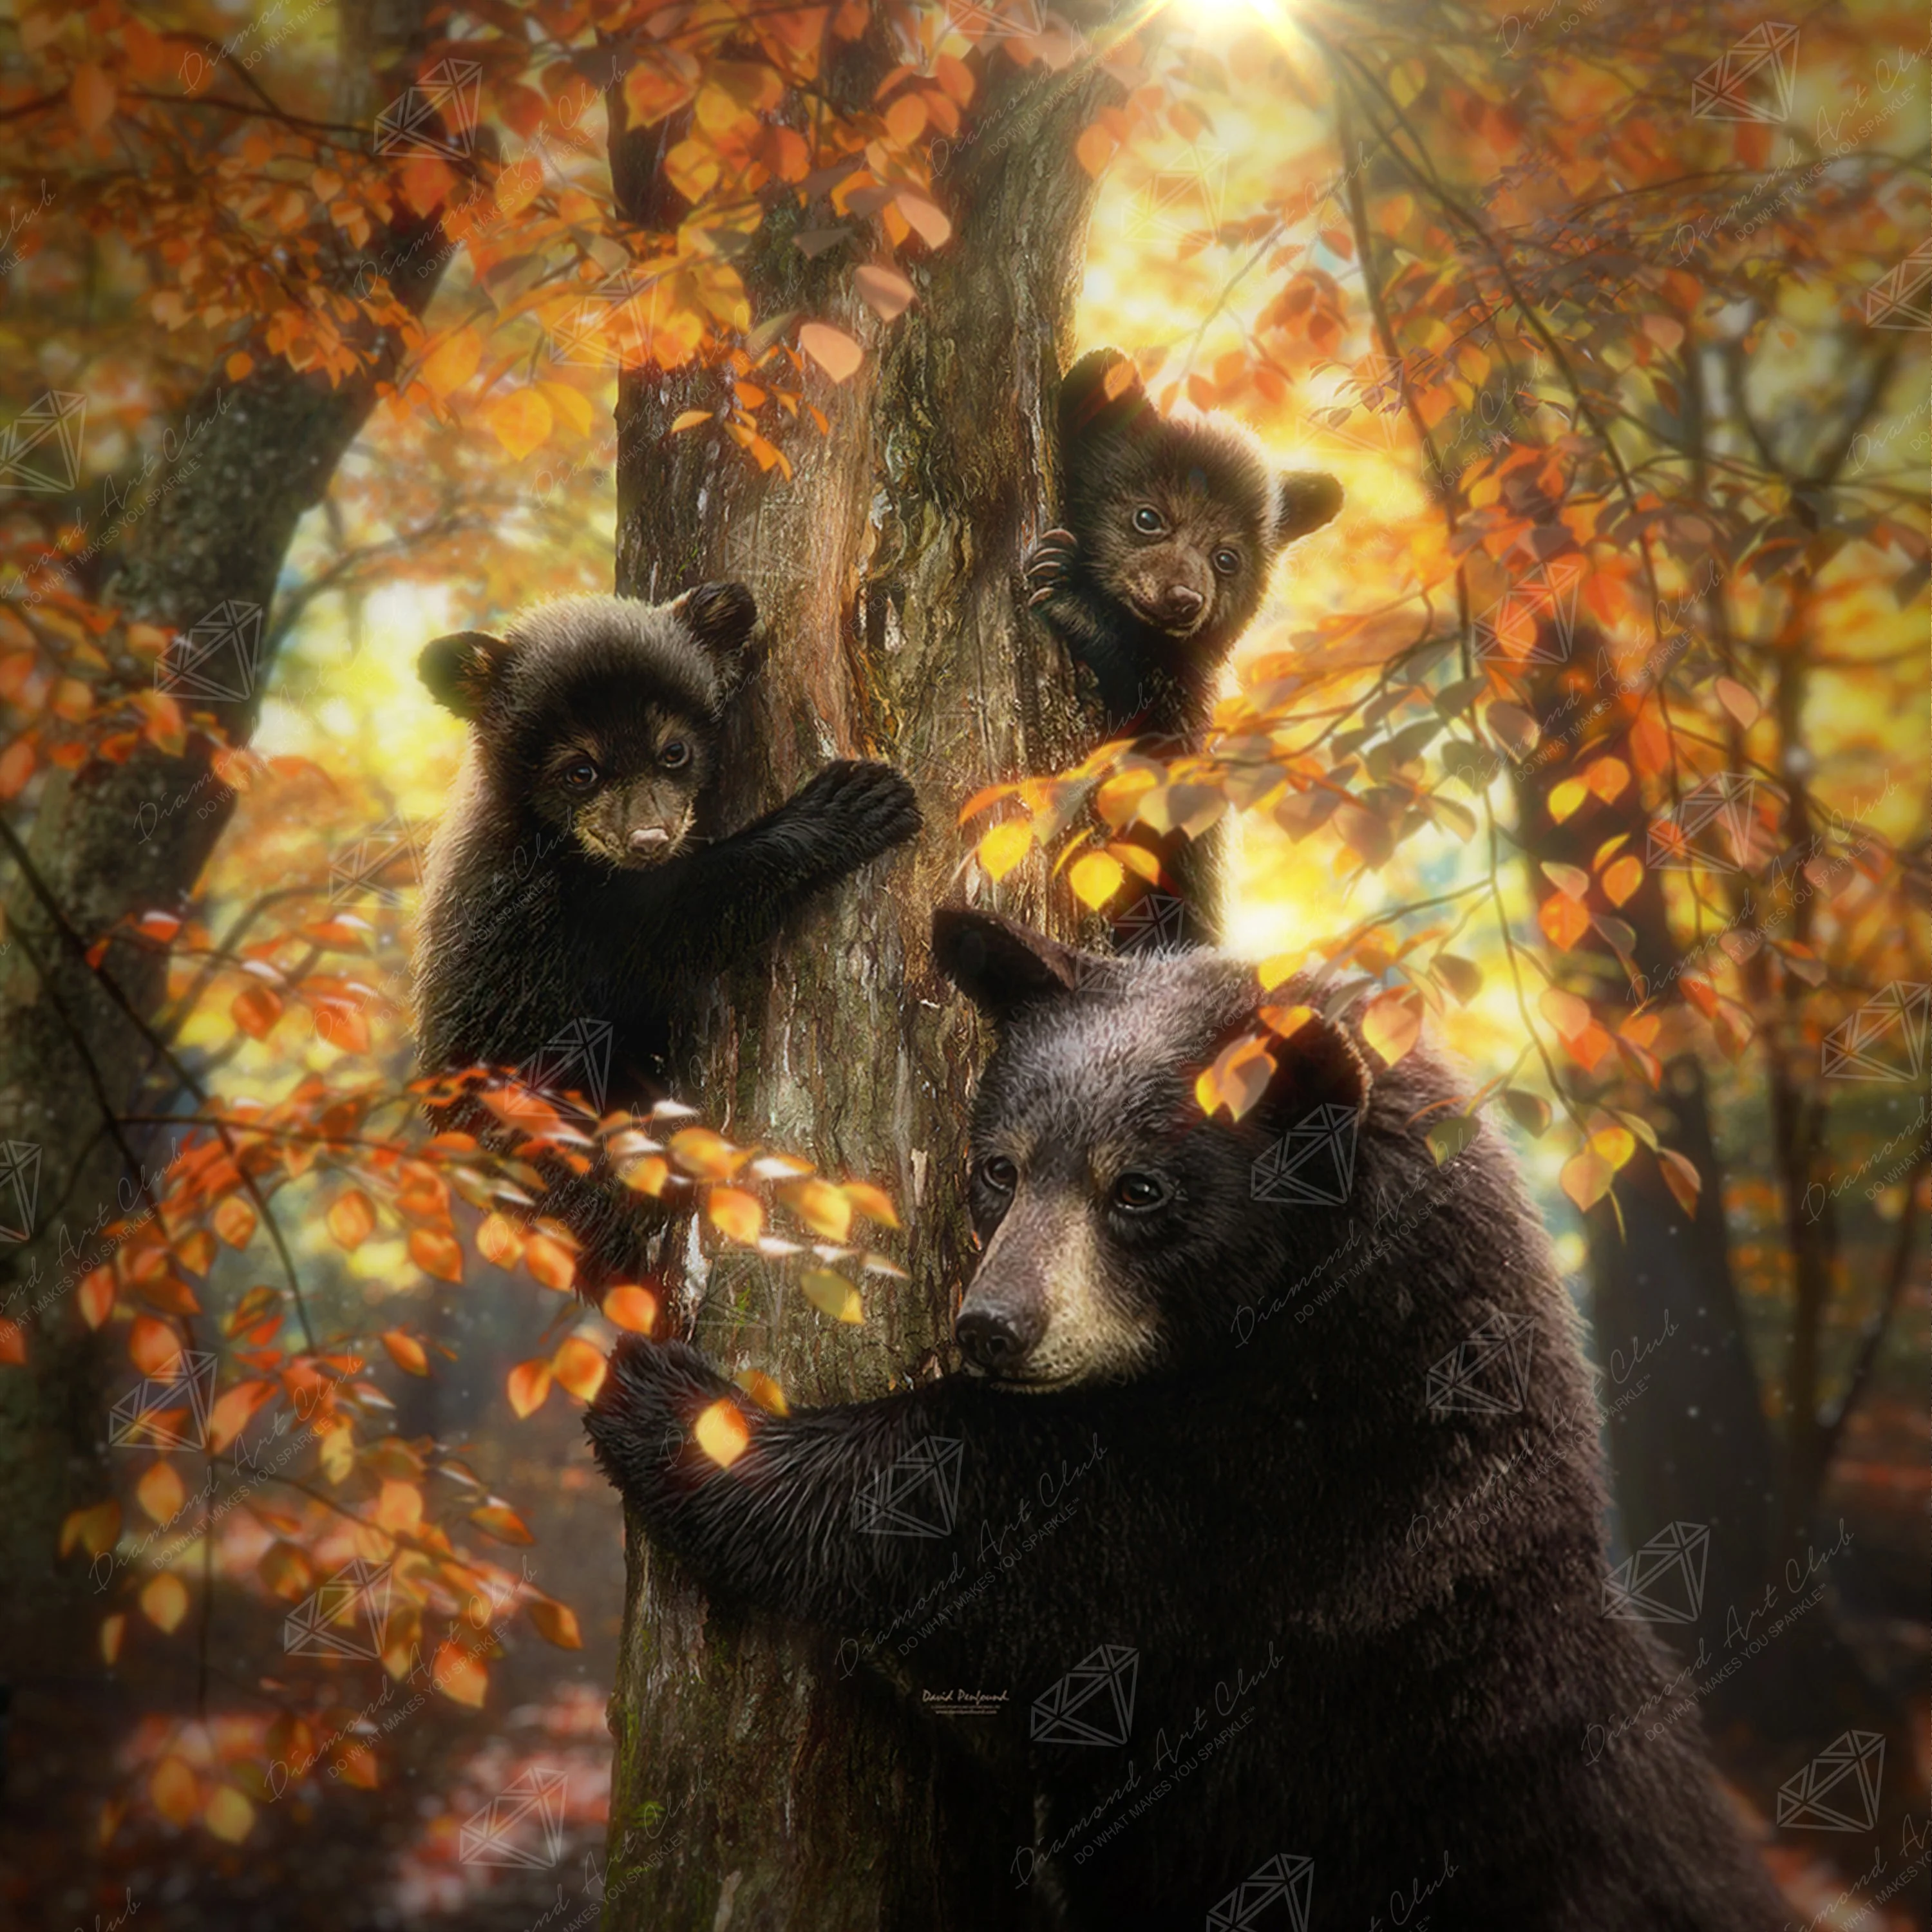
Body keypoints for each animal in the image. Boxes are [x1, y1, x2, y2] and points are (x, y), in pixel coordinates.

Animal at [413, 583, 921, 1278]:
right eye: (580, 771)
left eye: (673, 751)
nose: (649, 839)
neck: (552, 841)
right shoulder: (545, 911)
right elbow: (673, 924)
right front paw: (851, 805)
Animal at [586, 909, 1788, 1932]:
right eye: (999, 1167)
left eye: (1140, 1189)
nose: (993, 1325)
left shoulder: (1281, 1512)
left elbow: (1011, 1530)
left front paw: (675, 1409)